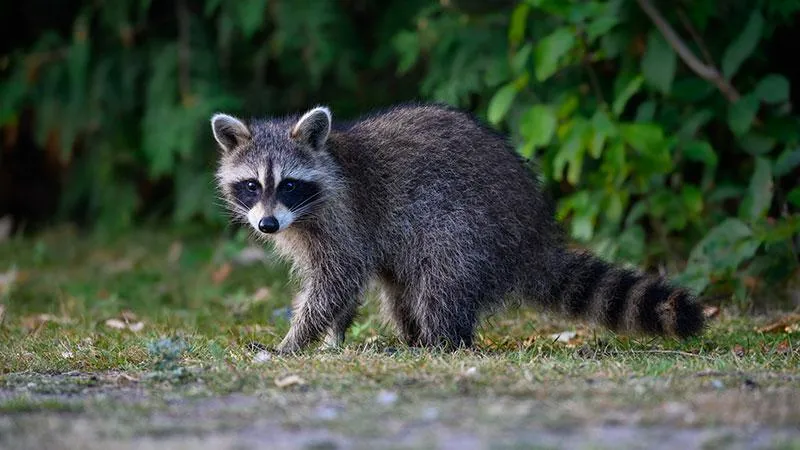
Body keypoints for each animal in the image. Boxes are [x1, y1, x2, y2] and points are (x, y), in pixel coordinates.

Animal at [212, 103, 708, 354]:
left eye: (289, 185)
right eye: (252, 185)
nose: (267, 225)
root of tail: (535, 235)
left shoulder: (344, 217)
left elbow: (337, 280)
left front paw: (296, 339)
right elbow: (343, 286)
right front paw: (334, 336)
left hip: (469, 229)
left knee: (440, 284)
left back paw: (440, 344)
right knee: (401, 290)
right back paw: (414, 338)